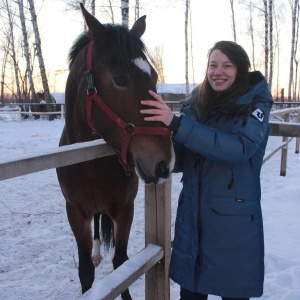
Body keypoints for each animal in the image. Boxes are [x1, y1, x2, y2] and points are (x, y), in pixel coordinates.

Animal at [55, 4, 176, 300]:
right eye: (120, 79)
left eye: (154, 76)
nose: (164, 163)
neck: (92, 166)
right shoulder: (75, 212)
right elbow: (86, 271)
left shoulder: (125, 208)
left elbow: (122, 265)